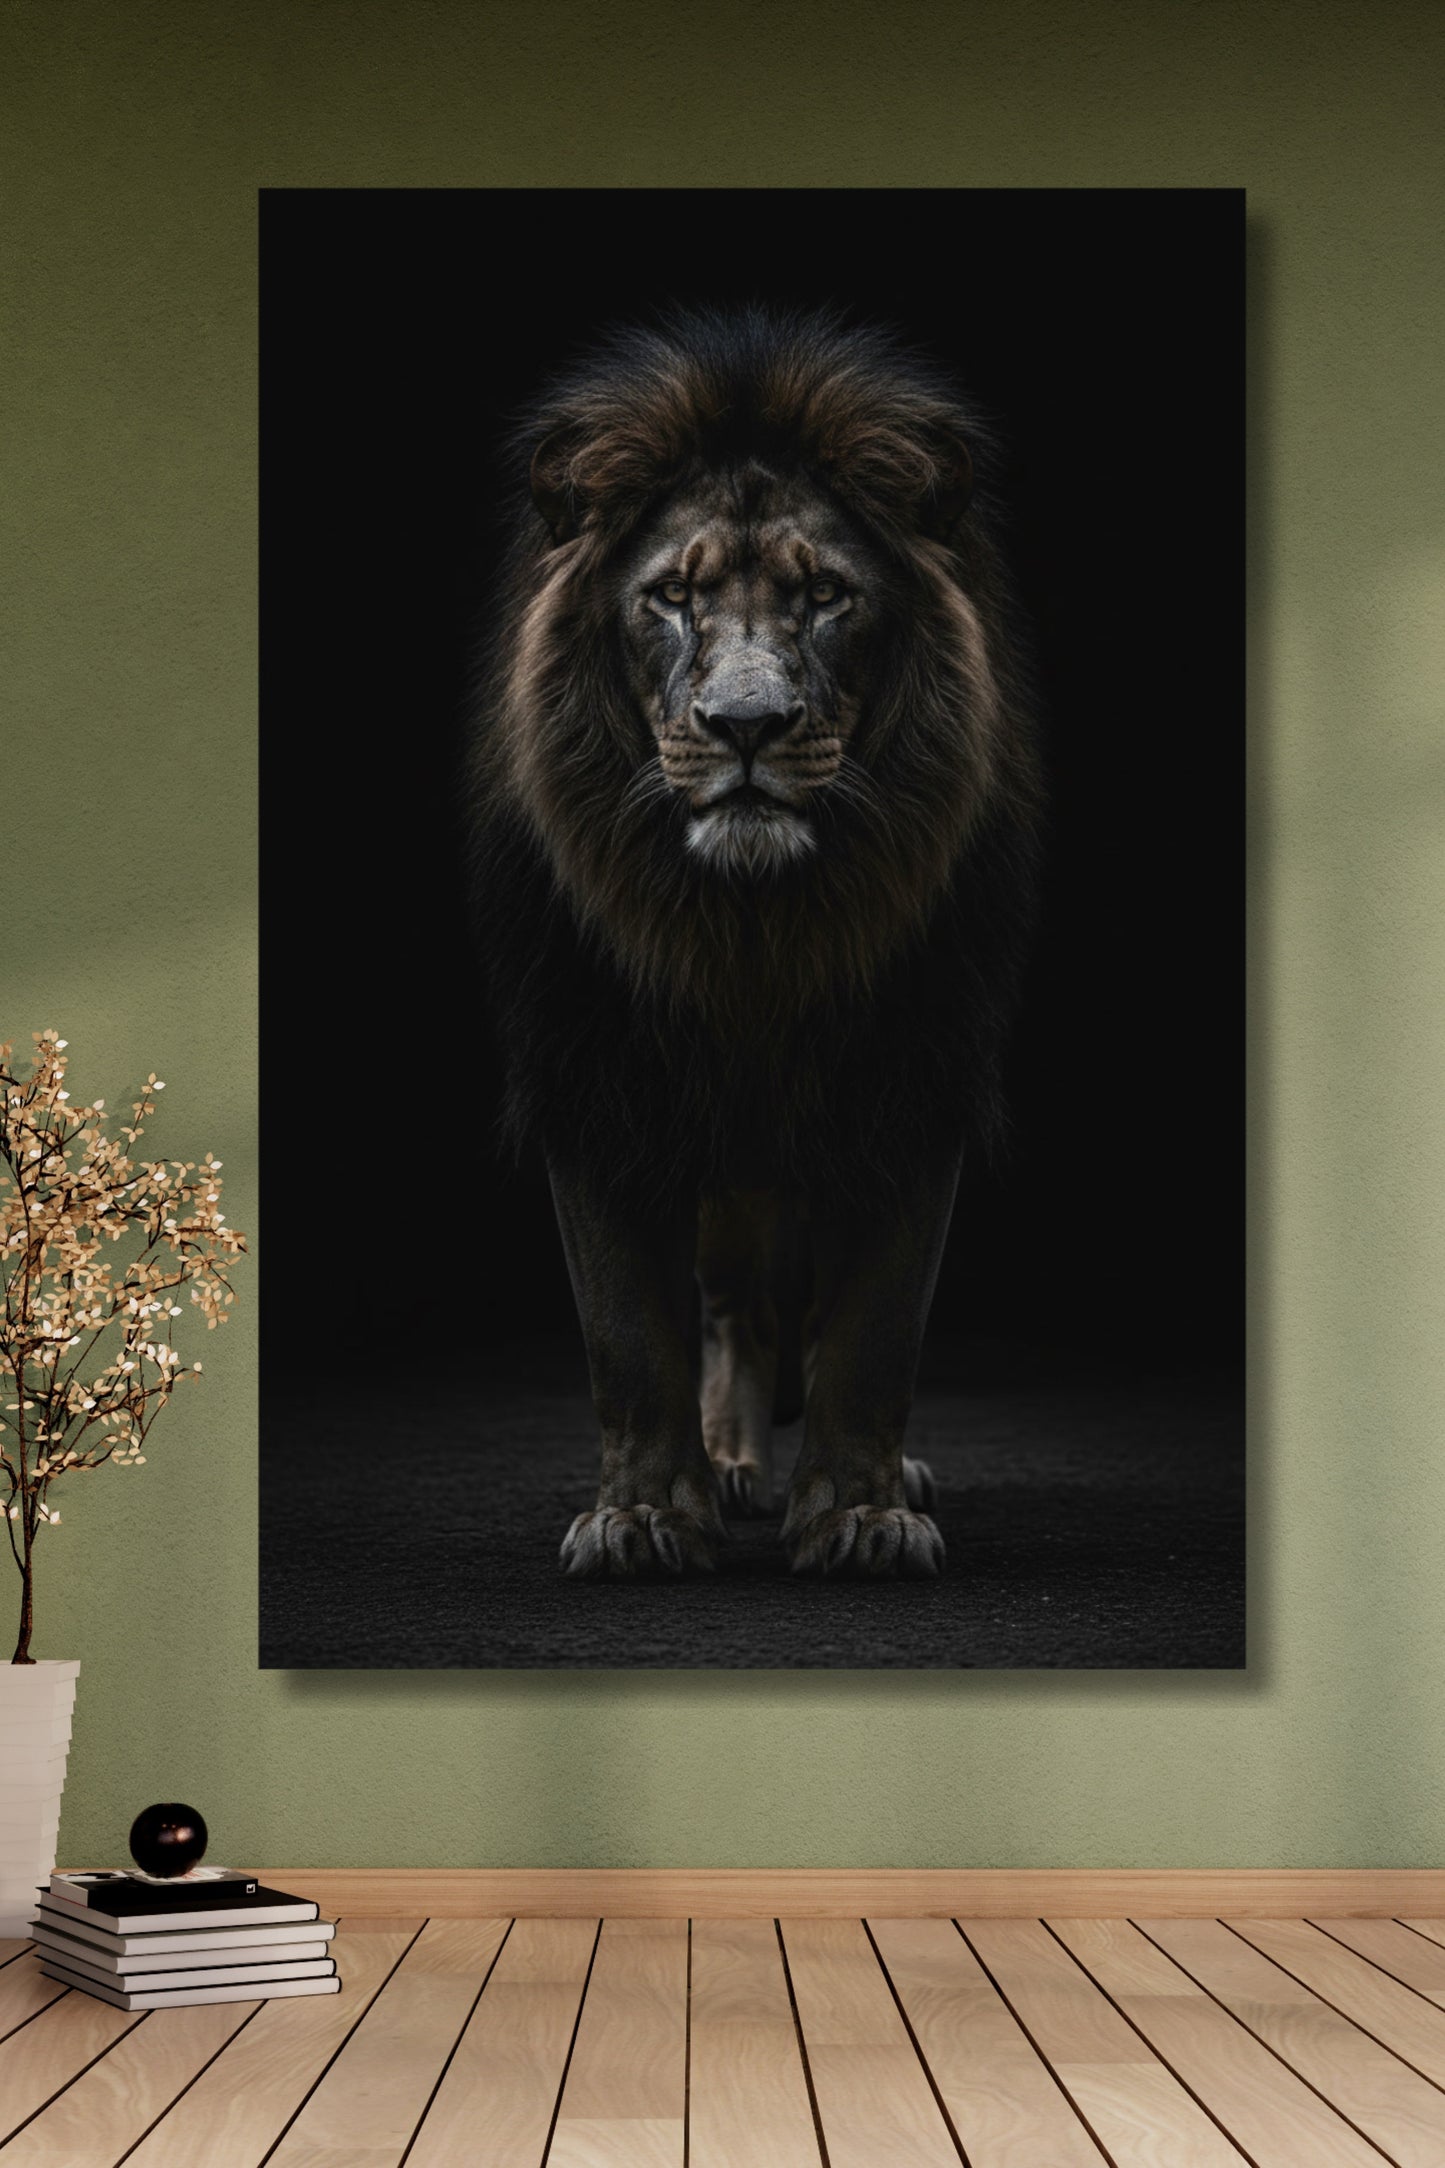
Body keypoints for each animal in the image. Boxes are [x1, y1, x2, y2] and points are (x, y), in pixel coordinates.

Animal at [467, 306, 1041, 1580]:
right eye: (670, 597)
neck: (754, 930)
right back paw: (730, 1464)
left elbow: (874, 1331)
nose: (743, 725)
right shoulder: (594, 1078)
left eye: (825, 594)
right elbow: (628, 1338)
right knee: (736, 1307)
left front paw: (859, 1515)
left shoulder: (912, 1081)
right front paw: (642, 1518)